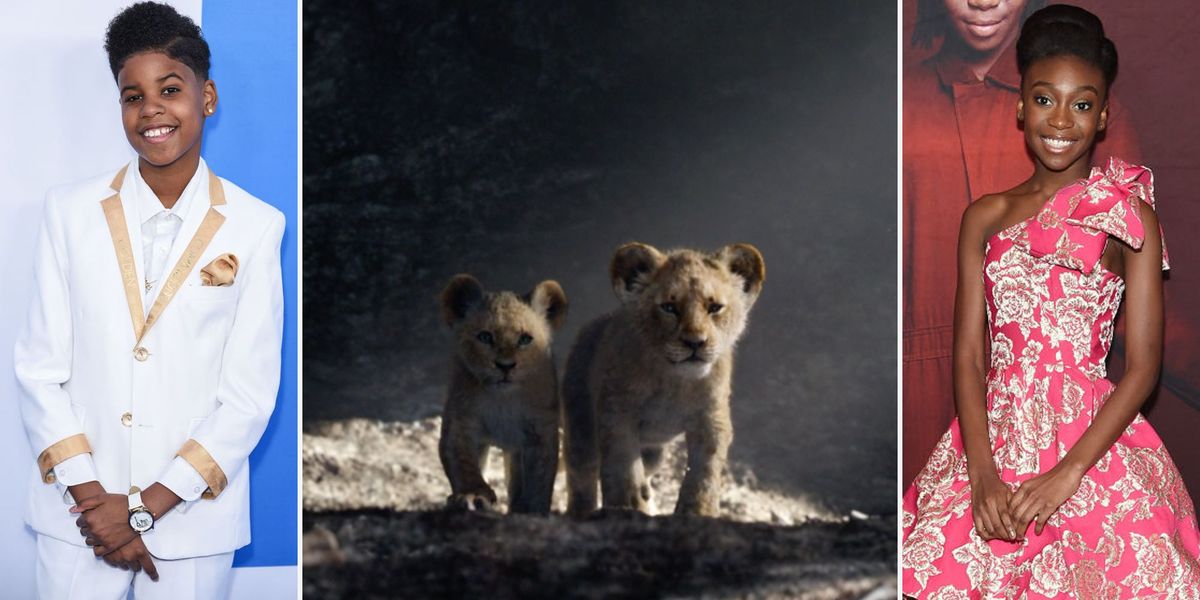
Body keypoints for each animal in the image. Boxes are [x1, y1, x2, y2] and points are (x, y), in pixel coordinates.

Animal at [437, 274, 567, 514]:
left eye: (525, 339)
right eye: (485, 337)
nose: (505, 366)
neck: (502, 400)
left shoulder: (540, 429)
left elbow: (540, 474)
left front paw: (532, 507)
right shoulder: (460, 422)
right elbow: (463, 463)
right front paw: (473, 495)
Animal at [562, 242, 765, 517]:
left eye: (714, 308)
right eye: (669, 308)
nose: (695, 343)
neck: (675, 382)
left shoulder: (711, 418)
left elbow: (704, 472)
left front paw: (697, 511)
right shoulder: (617, 413)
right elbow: (622, 468)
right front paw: (628, 508)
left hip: (653, 452)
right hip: (580, 425)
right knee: (581, 474)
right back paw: (582, 512)